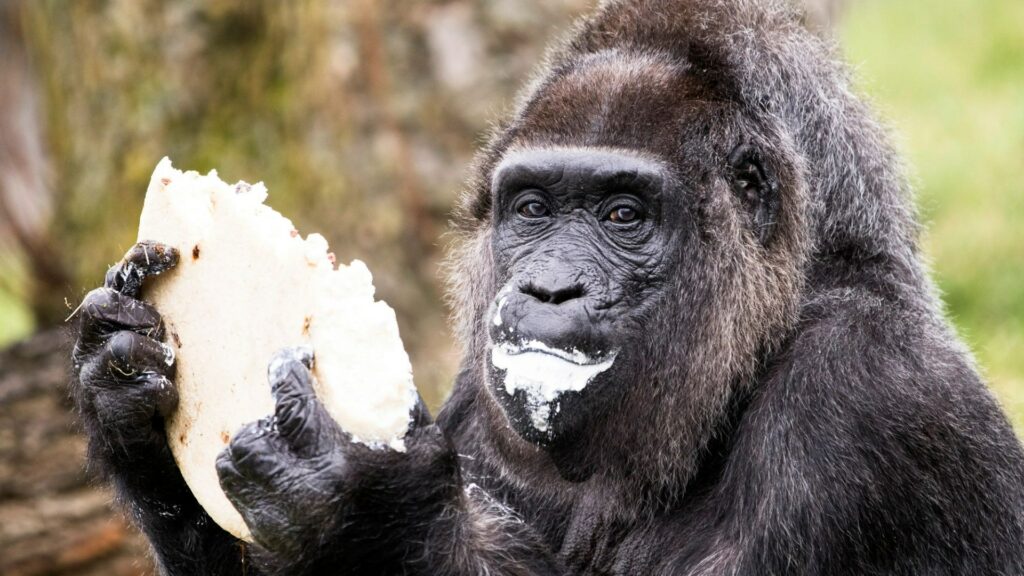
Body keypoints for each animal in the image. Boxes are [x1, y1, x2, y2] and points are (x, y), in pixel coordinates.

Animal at [70, 0, 1024, 569]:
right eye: (532, 208)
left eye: (623, 215)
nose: (551, 289)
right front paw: (127, 397)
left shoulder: (864, 395)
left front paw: (362, 501)